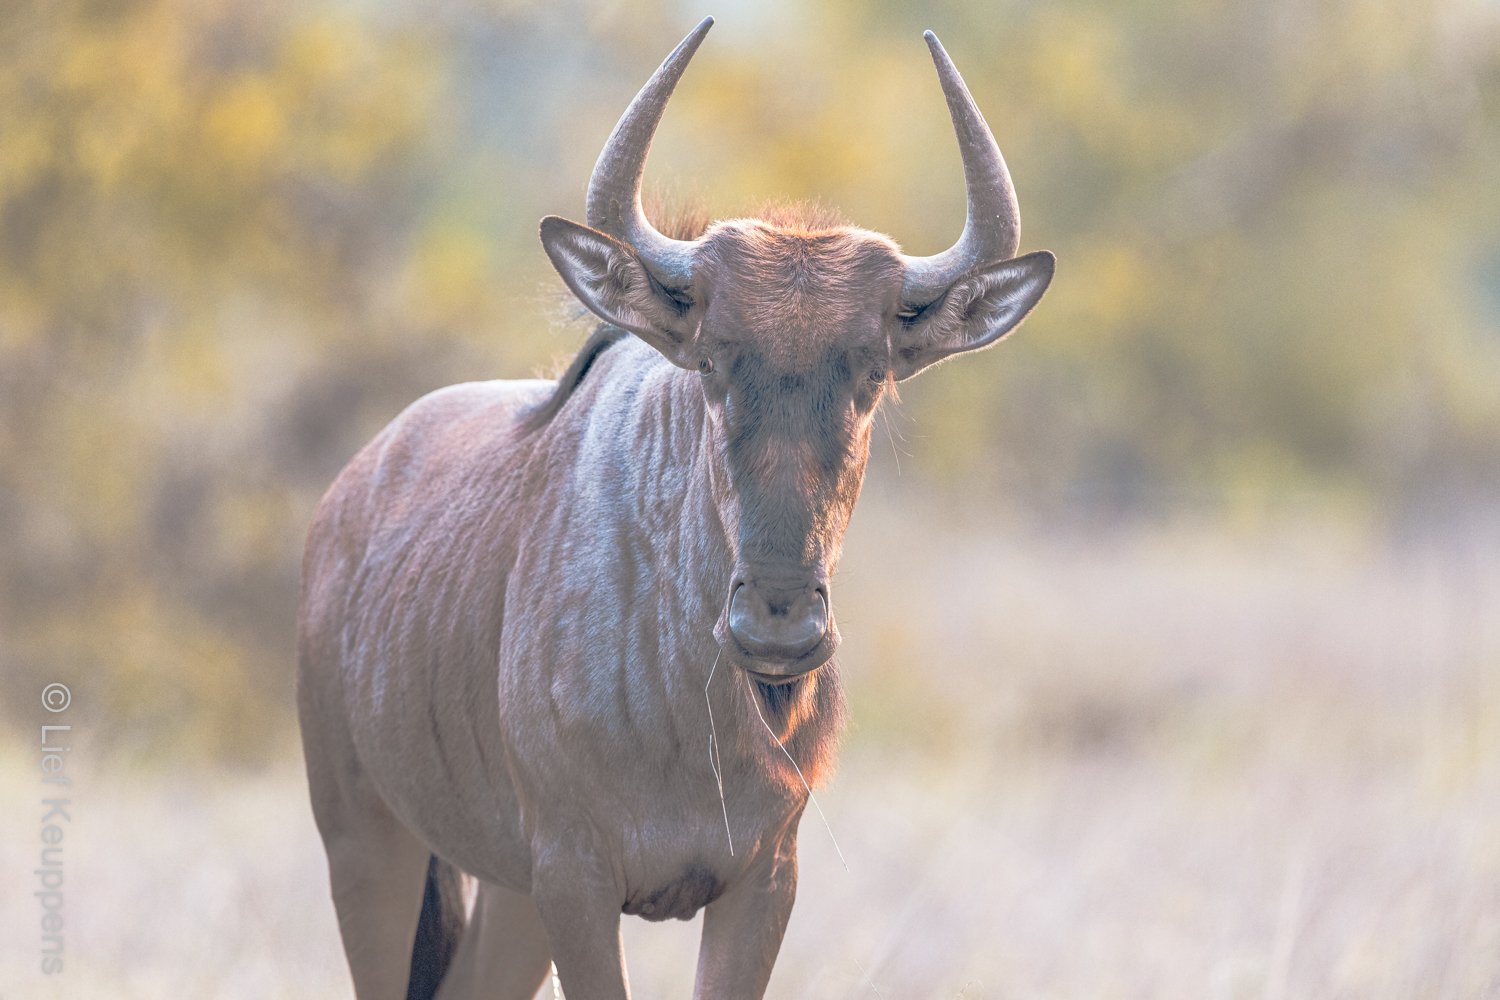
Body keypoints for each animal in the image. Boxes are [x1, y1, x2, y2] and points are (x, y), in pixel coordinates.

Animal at [297, 17, 1053, 999]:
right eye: (712, 359)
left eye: (872, 371)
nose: (777, 626)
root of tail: (349, 496)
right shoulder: (575, 882)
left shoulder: (762, 881)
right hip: (370, 847)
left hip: (501, 894)